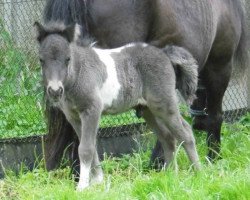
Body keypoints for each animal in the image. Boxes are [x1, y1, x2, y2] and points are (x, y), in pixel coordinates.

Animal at [35, 21, 200, 191]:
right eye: (41, 60)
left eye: (67, 59)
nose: (55, 91)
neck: (79, 72)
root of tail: (165, 53)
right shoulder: (73, 117)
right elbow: (90, 146)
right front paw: (97, 181)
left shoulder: (92, 110)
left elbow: (86, 149)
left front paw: (82, 186)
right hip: (149, 111)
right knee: (168, 138)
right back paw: (170, 175)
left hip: (165, 105)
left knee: (186, 133)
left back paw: (198, 173)